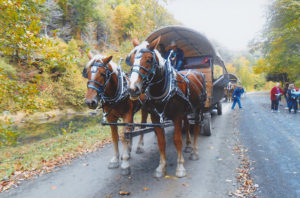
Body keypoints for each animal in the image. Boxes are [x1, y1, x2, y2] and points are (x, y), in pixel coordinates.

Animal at [126, 37, 206, 178]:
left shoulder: (177, 116)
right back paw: (188, 145)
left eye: (149, 59)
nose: (132, 89)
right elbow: (161, 142)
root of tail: (196, 72)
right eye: (131, 59)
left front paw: (180, 167)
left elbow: (177, 140)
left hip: (198, 109)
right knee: (187, 123)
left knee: (196, 127)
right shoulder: (156, 118)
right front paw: (161, 167)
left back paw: (194, 152)